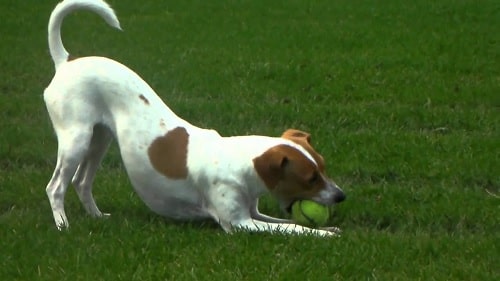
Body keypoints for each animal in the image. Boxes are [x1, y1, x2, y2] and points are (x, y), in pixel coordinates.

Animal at [45, 0, 346, 235]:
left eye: (324, 166)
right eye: (310, 178)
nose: (341, 196)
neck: (240, 161)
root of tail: (65, 62)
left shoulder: (253, 214)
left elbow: (289, 222)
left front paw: (327, 226)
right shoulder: (241, 224)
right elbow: (293, 227)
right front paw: (325, 234)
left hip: (99, 140)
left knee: (81, 182)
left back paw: (97, 216)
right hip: (76, 140)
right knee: (56, 186)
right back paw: (62, 225)